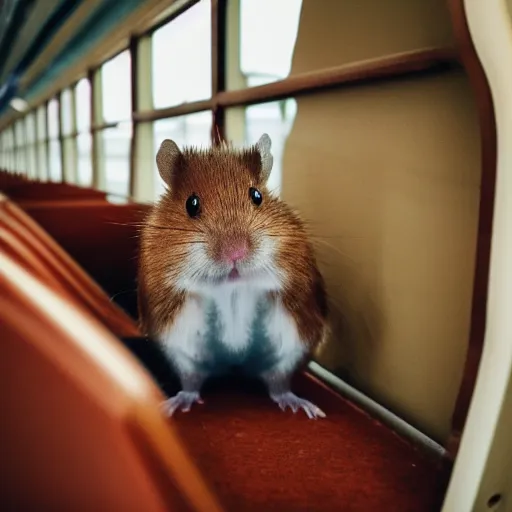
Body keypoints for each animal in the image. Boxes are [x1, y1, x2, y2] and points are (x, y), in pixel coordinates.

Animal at [137, 134, 328, 418]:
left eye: (257, 196)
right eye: (191, 204)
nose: (236, 253)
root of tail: (234, 366)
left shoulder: (291, 268)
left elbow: (268, 279)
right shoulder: (165, 276)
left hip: (288, 352)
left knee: (278, 385)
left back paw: (304, 407)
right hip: (183, 353)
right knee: (192, 382)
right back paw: (174, 404)